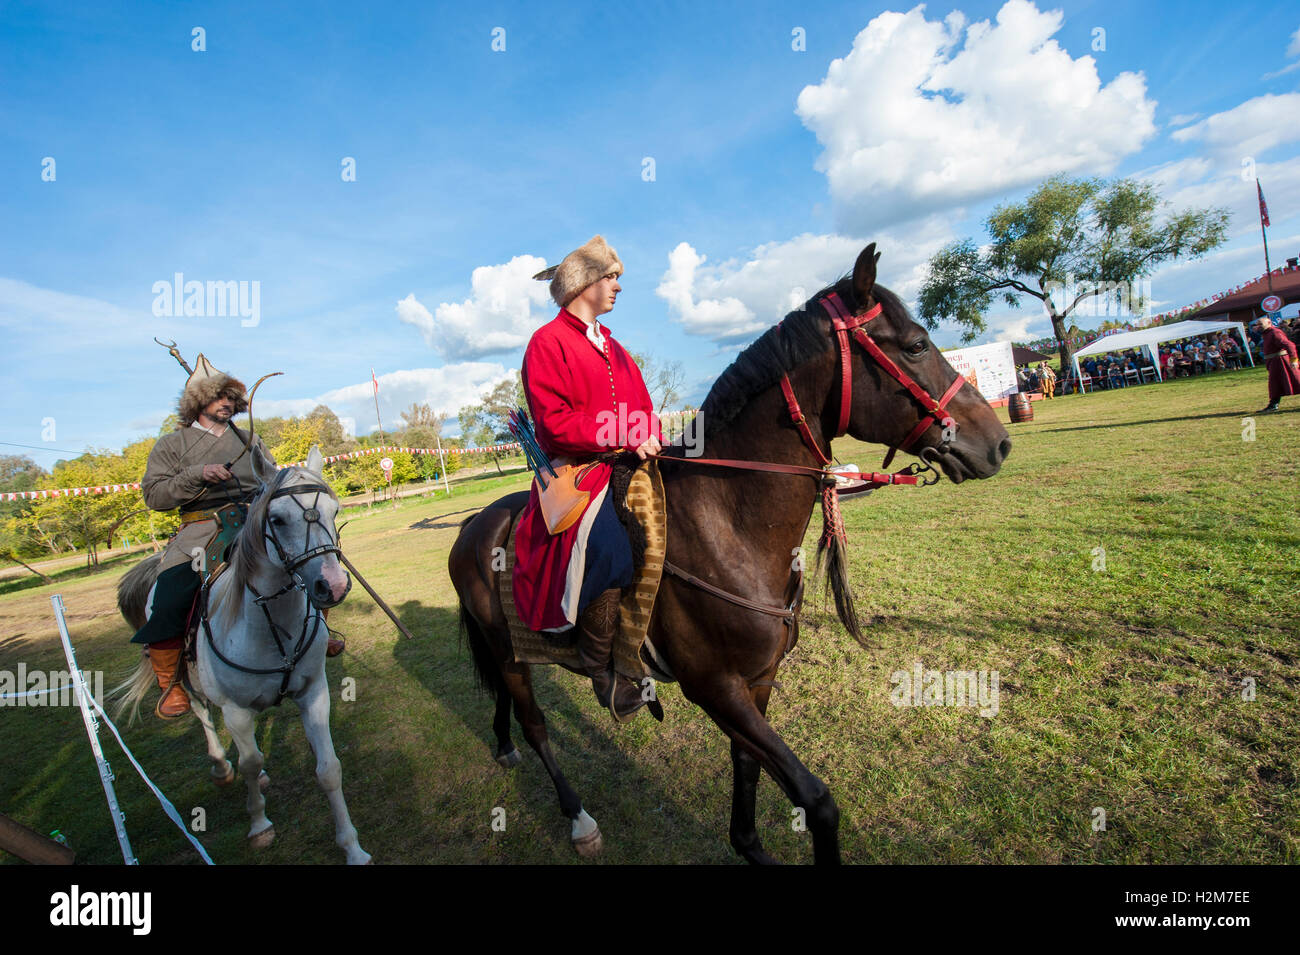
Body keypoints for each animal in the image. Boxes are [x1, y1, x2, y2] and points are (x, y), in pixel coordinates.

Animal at [115, 446, 370, 864]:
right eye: (277, 519)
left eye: (334, 511)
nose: (332, 586)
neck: (268, 626)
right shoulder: (235, 710)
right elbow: (250, 763)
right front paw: (259, 825)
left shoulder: (314, 693)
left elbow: (329, 769)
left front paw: (352, 847)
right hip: (191, 681)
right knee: (202, 714)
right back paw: (220, 765)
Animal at [448, 243, 1012, 864]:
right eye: (914, 345)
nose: (997, 443)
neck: (726, 524)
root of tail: (474, 524)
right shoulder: (716, 689)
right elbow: (817, 800)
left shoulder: (755, 683)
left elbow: (748, 769)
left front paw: (748, 843)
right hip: (509, 651)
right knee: (536, 725)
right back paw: (578, 817)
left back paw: (504, 746)